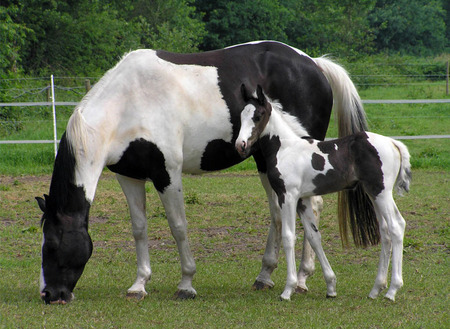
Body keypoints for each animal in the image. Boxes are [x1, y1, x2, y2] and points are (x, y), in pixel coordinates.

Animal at [36, 41, 370, 304]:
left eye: (51, 244)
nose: (49, 295)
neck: (128, 102)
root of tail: (314, 64)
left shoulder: (167, 174)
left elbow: (178, 226)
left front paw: (186, 283)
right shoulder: (128, 176)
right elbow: (139, 228)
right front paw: (139, 284)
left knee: (311, 207)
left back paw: (301, 279)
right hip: (266, 161)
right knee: (279, 212)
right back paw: (266, 276)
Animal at [236, 84, 412, 300]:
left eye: (258, 116)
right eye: (241, 115)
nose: (240, 145)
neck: (285, 148)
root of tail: (394, 143)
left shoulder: (288, 197)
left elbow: (288, 236)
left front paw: (288, 289)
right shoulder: (302, 200)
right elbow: (314, 237)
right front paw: (331, 286)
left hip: (382, 193)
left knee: (396, 226)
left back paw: (392, 290)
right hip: (374, 194)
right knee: (385, 231)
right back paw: (376, 289)